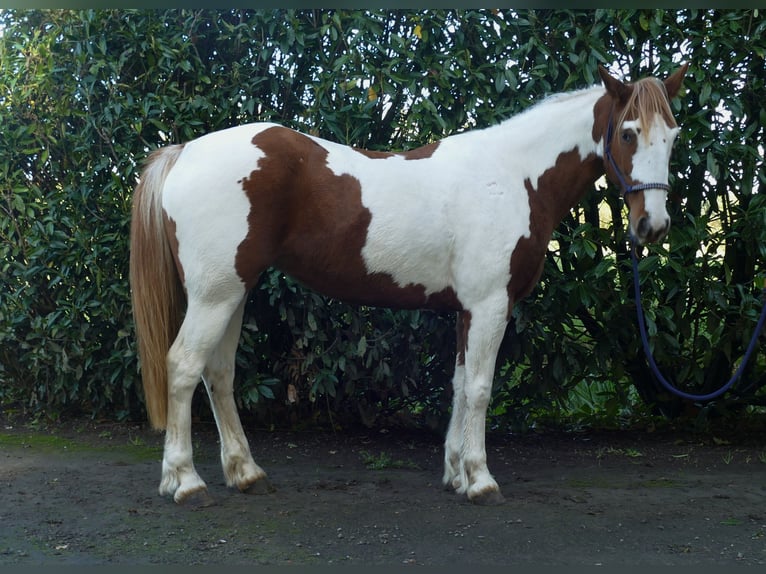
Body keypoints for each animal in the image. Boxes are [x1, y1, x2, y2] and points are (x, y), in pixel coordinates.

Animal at [129, 64, 688, 508]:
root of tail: (183, 152)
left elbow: (460, 384)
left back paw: (245, 473)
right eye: (629, 133)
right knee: (183, 367)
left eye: (673, 135)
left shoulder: (468, 309)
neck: (514, 176)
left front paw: (456, 473)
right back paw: (185, 482)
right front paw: (481, 480)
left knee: (218, 374)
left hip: (232, 293)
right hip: (214, 296)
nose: (652, 226)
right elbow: (481, 389)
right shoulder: (490, 305)